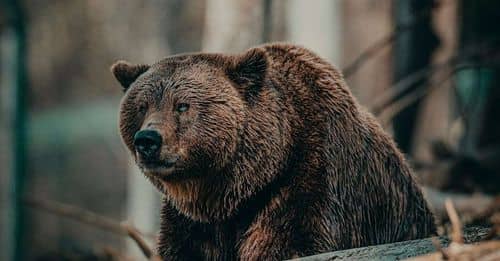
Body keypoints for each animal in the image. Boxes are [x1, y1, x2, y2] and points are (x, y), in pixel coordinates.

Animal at [111, 42, 436, 258]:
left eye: (182, 105)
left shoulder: (311, 181)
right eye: (141, 106)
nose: (147, 140)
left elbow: (291, 241)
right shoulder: (194, 222)